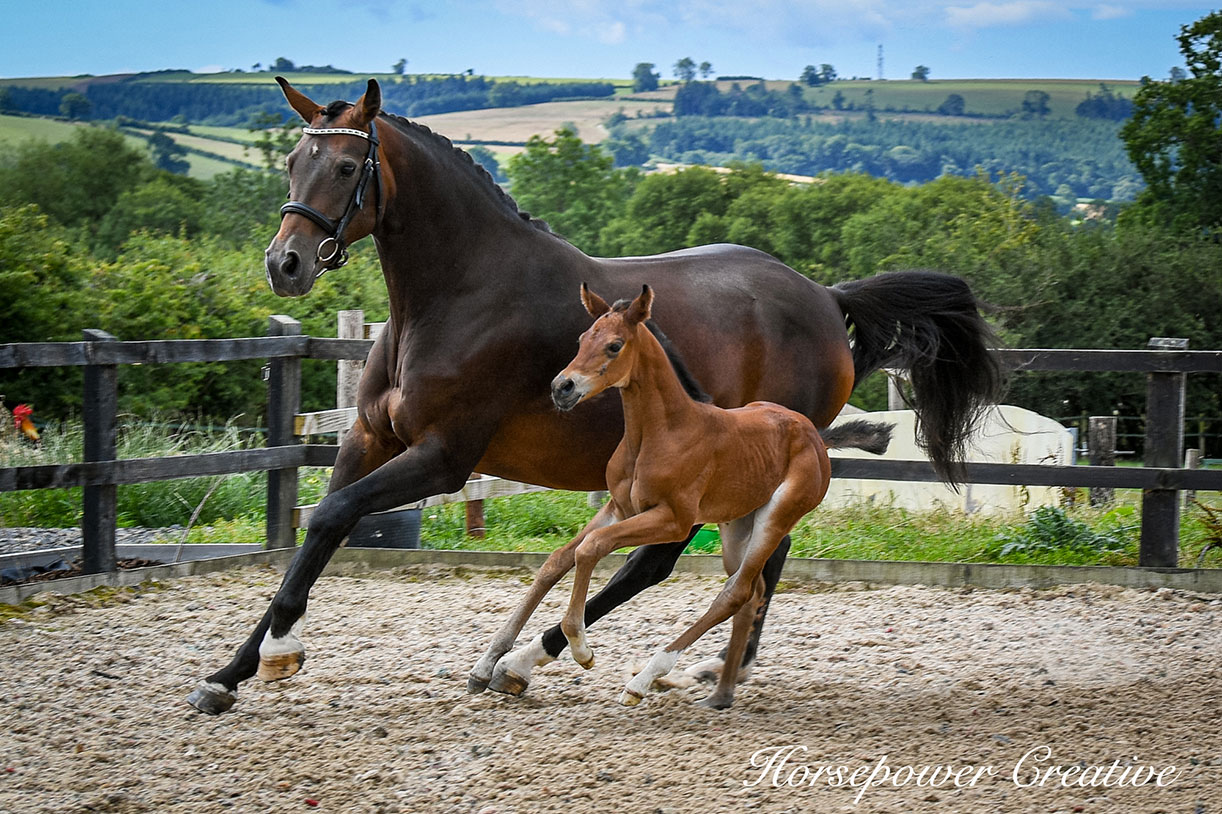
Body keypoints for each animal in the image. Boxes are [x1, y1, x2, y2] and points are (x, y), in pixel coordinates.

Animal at [505, 282, 830, 708]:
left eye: (614, 345)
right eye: (582, 339)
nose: (562, 387)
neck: (663, 432)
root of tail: (814, 435)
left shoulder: (673, 520)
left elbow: (590, 548)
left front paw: (581, 648)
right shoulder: (620, 507)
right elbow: (558, 558)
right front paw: (493, 663)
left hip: (775, 518)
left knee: (735, 592)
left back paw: (644, 681)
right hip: (736, 524)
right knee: (751, 592)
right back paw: (720, 694)